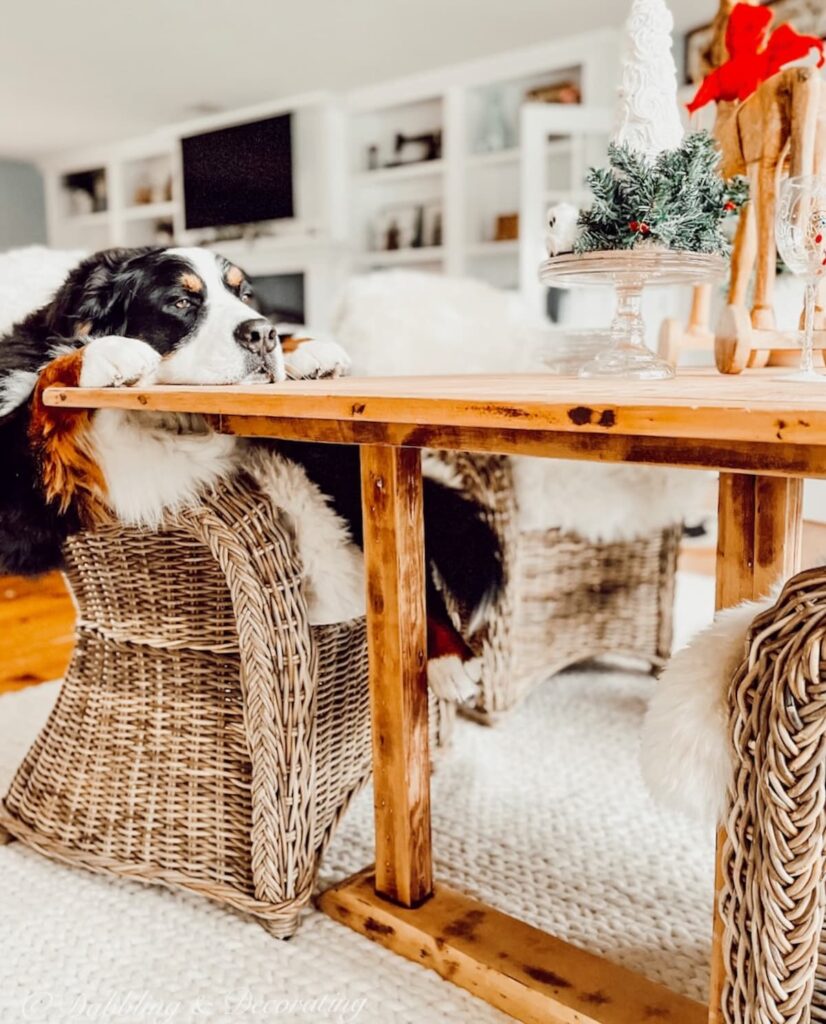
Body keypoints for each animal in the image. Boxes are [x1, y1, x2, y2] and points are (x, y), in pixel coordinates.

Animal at [0, 243, 503, 700]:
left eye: (243, 294)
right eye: (181, 302)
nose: (261, 333)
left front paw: (304, 351)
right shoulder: (23, 505)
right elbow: (39, 394)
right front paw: (104, 354)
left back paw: (447, 658)